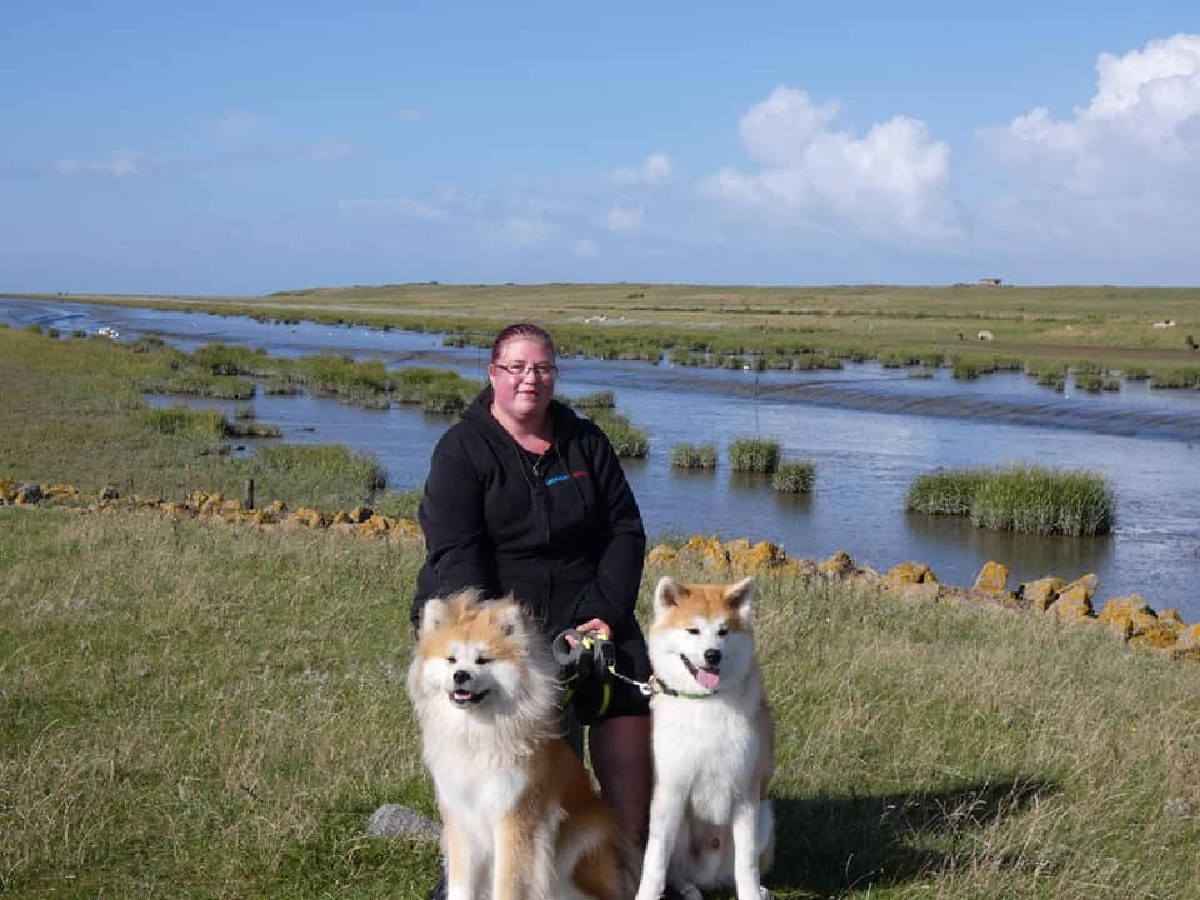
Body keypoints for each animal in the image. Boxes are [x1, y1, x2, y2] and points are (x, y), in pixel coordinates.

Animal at [407, 589, 636, 900]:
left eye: (483, 660)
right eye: (451, 660)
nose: (461, 675)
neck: (477, 733)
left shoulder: (515, 819)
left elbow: (509, 884)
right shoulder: (461, 820)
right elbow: (461, 885)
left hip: (583, 846)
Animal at [635, 576, 775, 900]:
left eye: (723, 631)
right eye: (693, 630)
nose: (713, 654)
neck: (705, 703)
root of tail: (707, 879)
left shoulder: (745, 793)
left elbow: (746, 863)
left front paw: (751, 894)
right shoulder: (670, 791)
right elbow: (655, 861)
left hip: (764, 816)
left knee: (736, 871)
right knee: (677, 874)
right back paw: (690, 890)